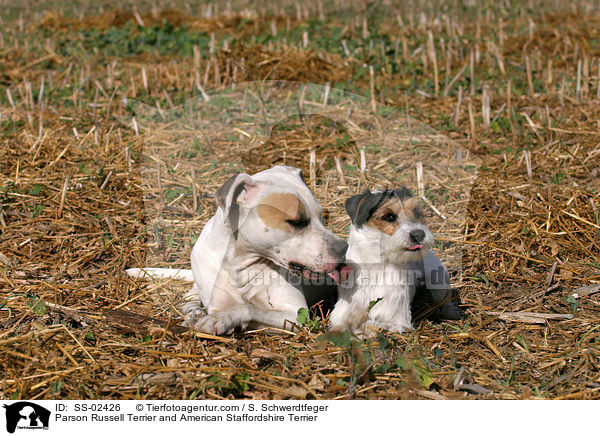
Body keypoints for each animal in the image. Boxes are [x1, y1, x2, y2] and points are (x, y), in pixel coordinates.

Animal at [129, 166, 350, 334]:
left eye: (321, 216)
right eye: (297, 222)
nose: (344, 248)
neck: (240, 261)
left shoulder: (294, 315)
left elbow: (246, 307)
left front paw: (221, 319)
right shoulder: (217, 301)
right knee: (189, 296)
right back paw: (192, 311)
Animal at [330, 188, 462, 338]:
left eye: (417, 213)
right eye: (389, 217)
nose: (419, 234)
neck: (380, 263)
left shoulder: (395, 319)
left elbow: (374, 323)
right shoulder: (343, 311)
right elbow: (343, 321)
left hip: (438, 281)